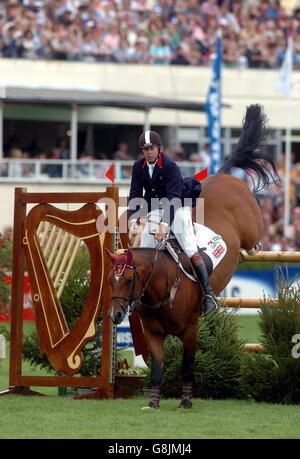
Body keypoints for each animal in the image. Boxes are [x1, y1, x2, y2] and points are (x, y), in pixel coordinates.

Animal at [105, 105, 278, 410]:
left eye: (127, 281)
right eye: (111, 282)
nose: (115, 315)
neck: (160, 286)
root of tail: (222, 174)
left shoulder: (190, 331)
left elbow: (186, 367)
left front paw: (185, 401)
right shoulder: (153, 335)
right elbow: (157, 369)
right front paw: (153, 402)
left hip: (251, 224)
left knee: (249, 240)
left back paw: (253, 249)